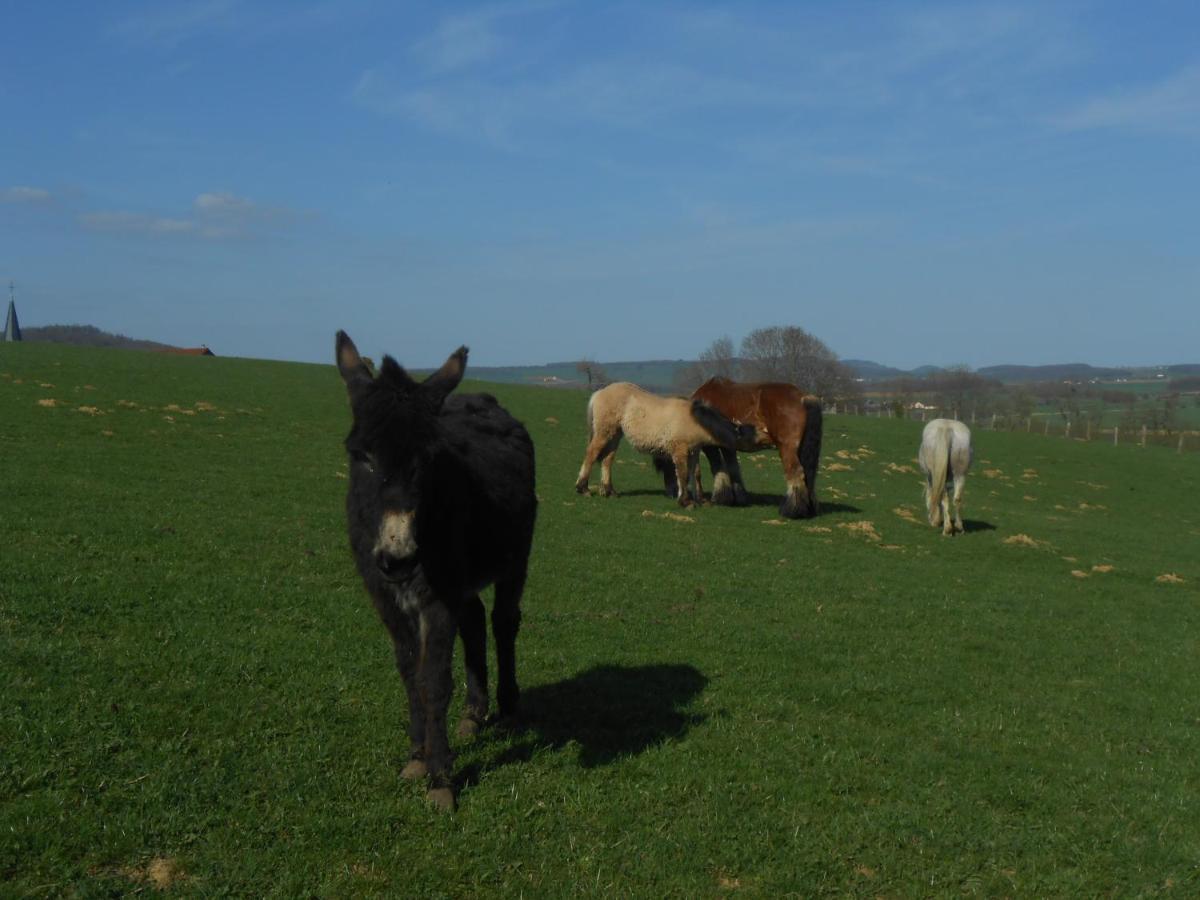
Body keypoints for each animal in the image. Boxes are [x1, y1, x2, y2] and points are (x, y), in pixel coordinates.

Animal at [331, 331, 532, 811]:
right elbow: (409, 672)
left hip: (515, 558)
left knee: (503, 622)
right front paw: (418, 754)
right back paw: (474, 713)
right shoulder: (383, 593)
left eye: (428, 459)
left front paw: (441, 777)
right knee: (474, 620)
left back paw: (508, 707)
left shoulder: (438, 594)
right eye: (361, 455)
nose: (399, 556)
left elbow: (434, 678)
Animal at [571, 381, 748, 508]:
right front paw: (686, 501)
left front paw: (698, 499)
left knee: (607, 460)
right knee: (591, 454)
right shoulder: (680, 451)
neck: (691, 419)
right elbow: (683, 474)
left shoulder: (693, 452)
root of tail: (599, 392)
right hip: (604, 433)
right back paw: (583, 488)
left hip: (615, 435)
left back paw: (609, 491)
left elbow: (694, 474)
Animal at [667, 376, 825, 520]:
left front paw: (721, 498)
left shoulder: (711, 446)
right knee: (808, 474)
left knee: (795, 473)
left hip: (787, 449)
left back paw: (792, 510)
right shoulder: (727, 446)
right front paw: (738, 497)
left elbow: (718, 468)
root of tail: (803, 397)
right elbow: (733, 468)